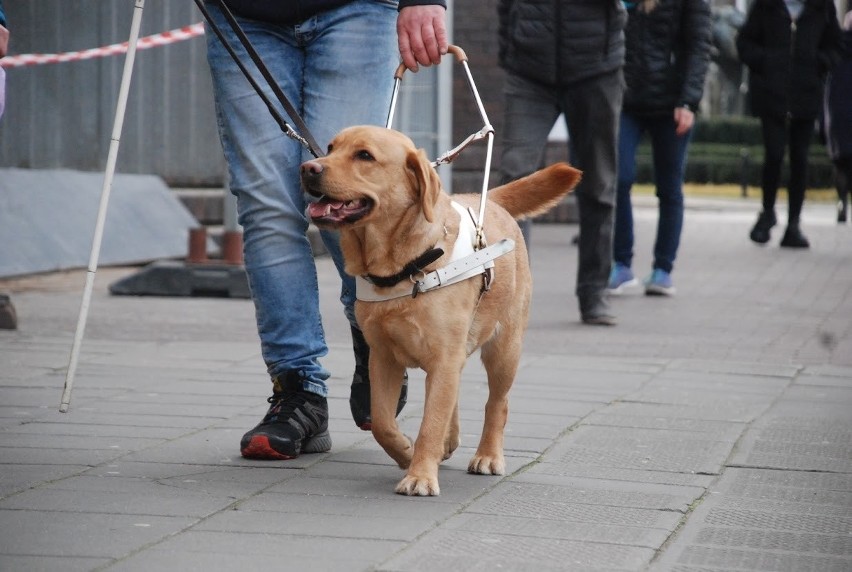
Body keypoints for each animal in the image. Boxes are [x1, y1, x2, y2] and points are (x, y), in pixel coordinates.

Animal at [302, 126, 584, 496]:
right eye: (331, 148)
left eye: (364, 155)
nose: (308, 167)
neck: (403, 268)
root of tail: (490, 199)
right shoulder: (383, 358)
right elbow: (382, 423)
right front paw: (406, 452)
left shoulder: (444, 357)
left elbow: (431, 422)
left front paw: (420, 474)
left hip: (504, 350)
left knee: (497, 404)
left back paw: (488, 455)